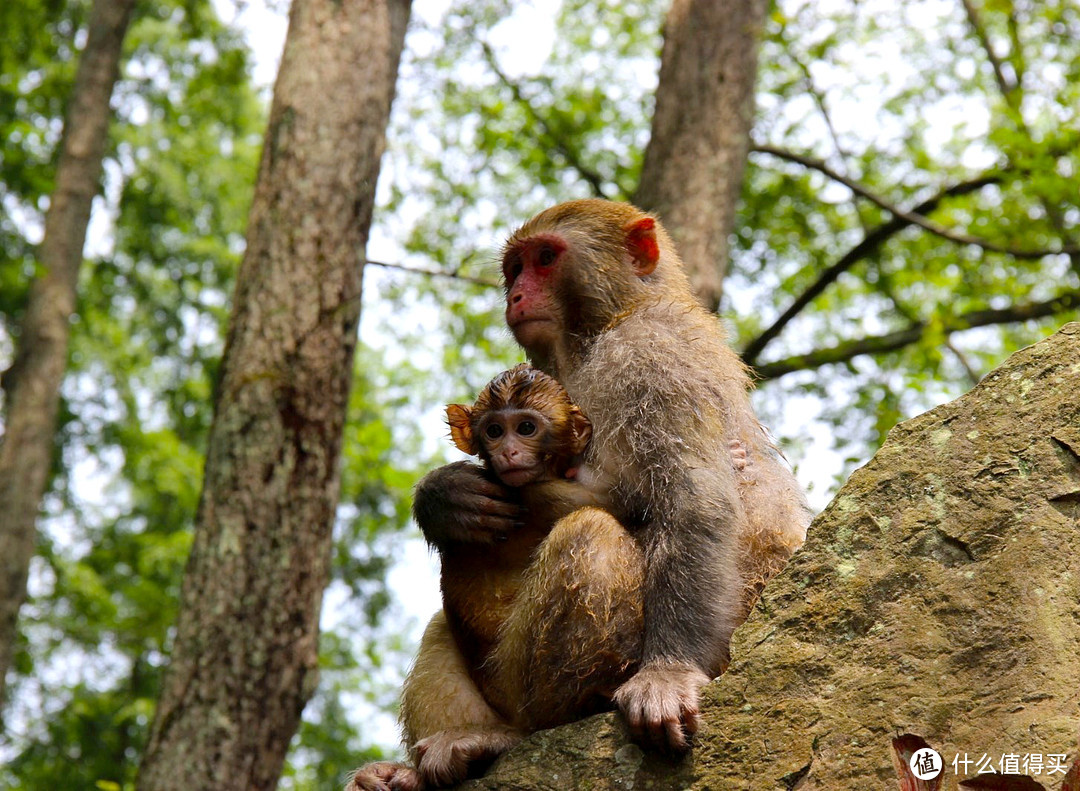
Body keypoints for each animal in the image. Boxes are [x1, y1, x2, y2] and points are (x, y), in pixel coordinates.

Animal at [349, 202, 807, 791]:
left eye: (545, 259)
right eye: (515, 268)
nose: (517, 295)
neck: (609, 324)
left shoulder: (651, 357)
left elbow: (691, 501)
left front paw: (669, 673)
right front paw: (444, 496)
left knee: (590, 533)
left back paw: (518, 734)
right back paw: (425, 768)